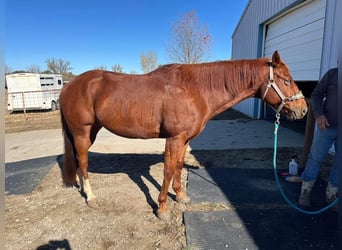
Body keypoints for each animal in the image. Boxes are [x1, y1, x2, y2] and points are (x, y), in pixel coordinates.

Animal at [58, 51, 308, 220]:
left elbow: (178, 165)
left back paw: (82, 189)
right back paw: (91, 197)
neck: (194, 89)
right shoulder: (174, 138)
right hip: (82, 131)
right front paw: (162, 208)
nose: (303, 110)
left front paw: (180, 196)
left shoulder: (185, 139)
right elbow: (168, 170)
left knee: (79, 161)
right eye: (286, 80)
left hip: (91, 131)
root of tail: (69, 86)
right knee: (83, 161)